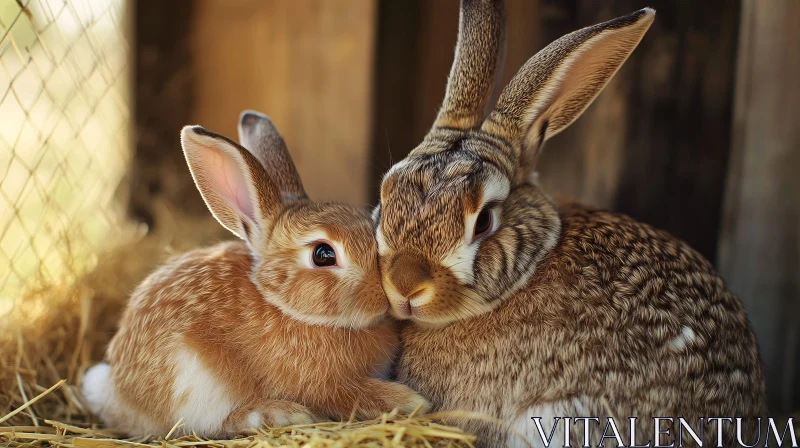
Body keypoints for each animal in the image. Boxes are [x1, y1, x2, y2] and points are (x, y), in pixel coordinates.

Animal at [80, 111, 428, 438]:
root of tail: (119, 392)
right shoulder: (322, 384)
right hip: (195, 381)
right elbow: (350, 395)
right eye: (323, 254)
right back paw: (279, 414)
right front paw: (411, 401)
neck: (286, 307)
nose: (382, 295)